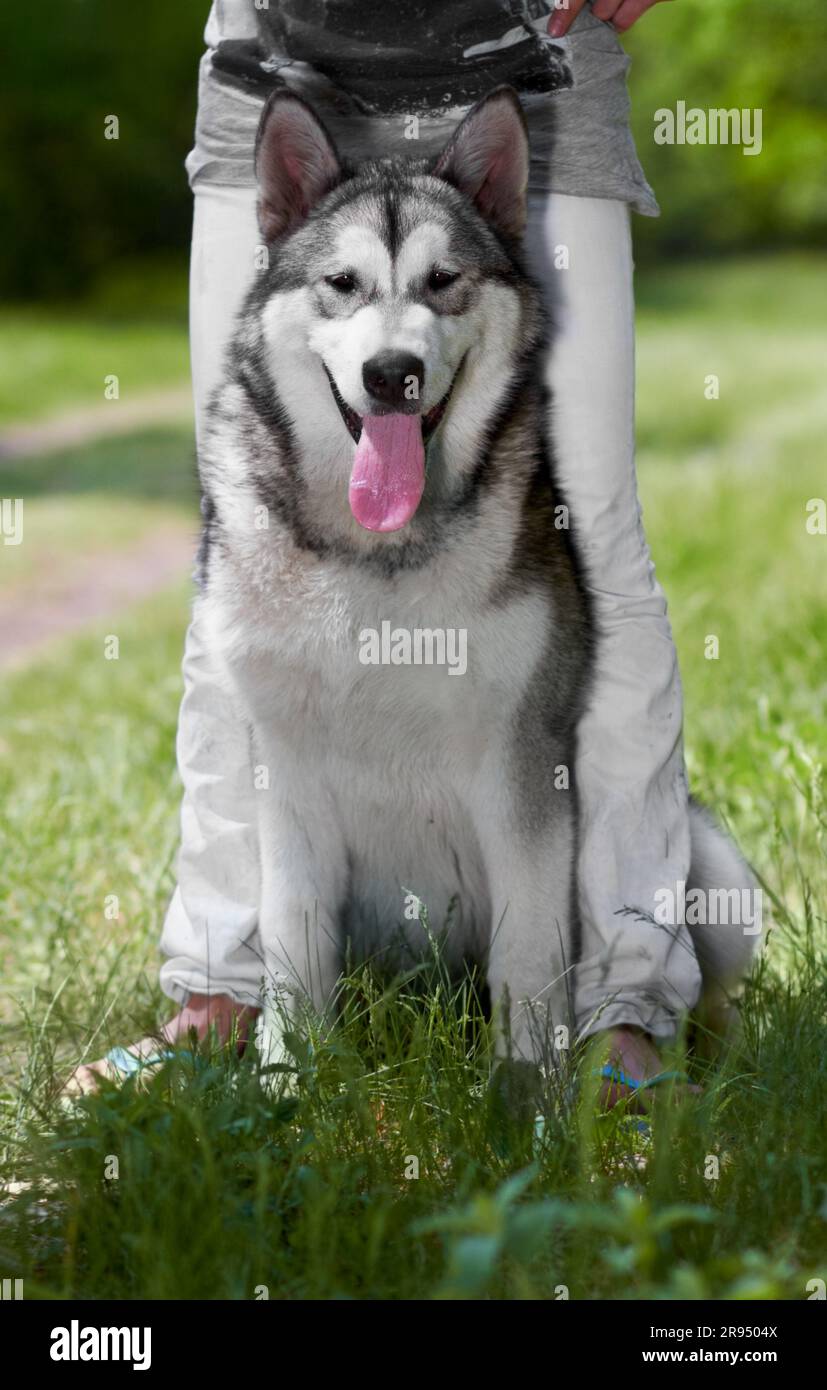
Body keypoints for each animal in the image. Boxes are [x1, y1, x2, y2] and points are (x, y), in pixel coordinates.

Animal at [193, 86, 756, 1061]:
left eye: (443, 279)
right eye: (341, 285)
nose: (393, 374)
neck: (377, 554)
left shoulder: (523, 768)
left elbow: (527, 959)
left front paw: (527, 1091)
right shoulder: (286, 775)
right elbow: (293, 948)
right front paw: (286, 1082)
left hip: (717, 877)